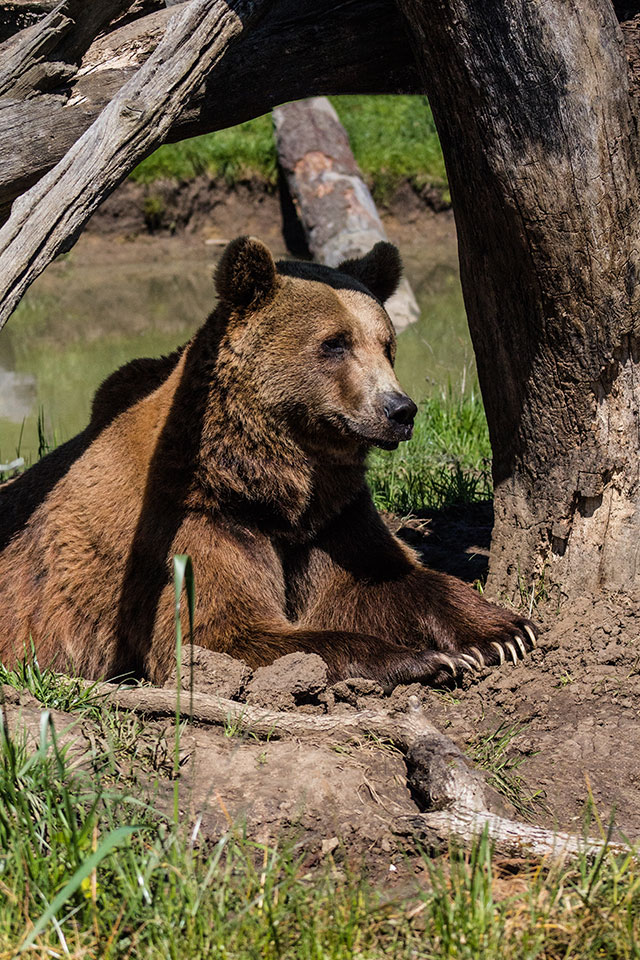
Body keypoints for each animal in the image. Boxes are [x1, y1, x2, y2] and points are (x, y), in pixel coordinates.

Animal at [0, 236, 537, 686]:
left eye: (386, 344)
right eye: (335, 342)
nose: (399, 411)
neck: (266, 483)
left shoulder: (330, 519)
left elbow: (387, 578)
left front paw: (503, 633)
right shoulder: (192, 523)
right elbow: (223, 633)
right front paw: (423, 658)